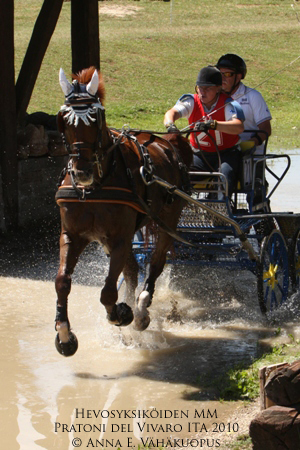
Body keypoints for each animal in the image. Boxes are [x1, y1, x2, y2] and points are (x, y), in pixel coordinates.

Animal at [54, 66, 192, 356]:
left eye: (95, 120)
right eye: (65, 121)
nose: (81, 172)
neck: (95, 187)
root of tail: (168, 142)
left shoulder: (119, 238)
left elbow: (108, 291)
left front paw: (121, 314)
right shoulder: (73, 235)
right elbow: (62, 281)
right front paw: (64, 334)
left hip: (168, 220)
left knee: (155, 263)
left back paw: (140, 310)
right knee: (131, 270)